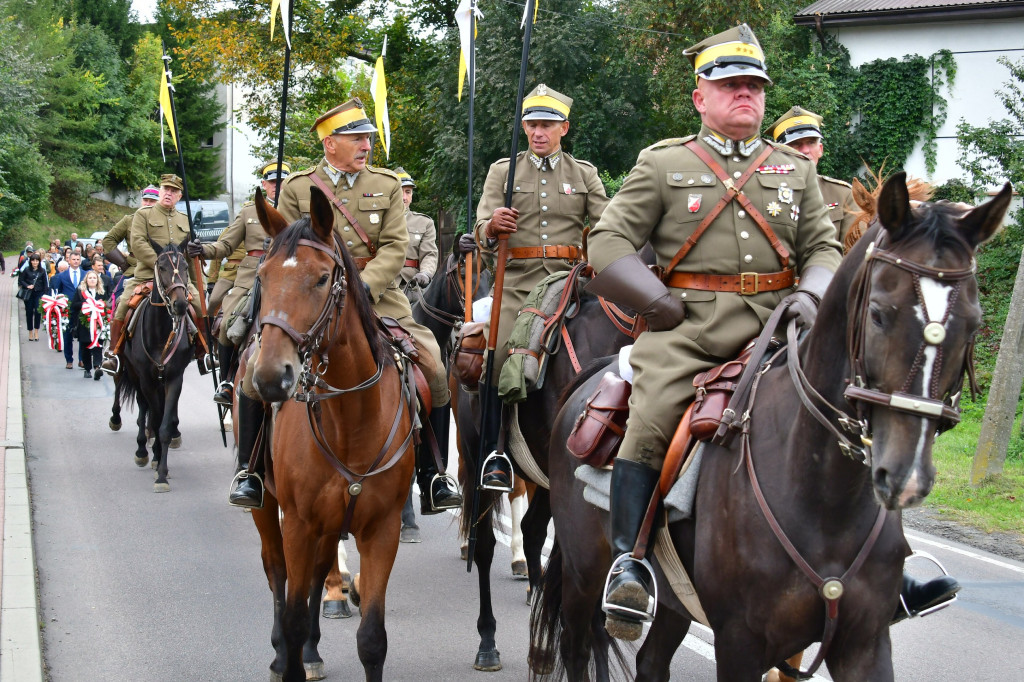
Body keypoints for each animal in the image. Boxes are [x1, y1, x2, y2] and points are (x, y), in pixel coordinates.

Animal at [115, 238, 196, 489]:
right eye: (161, 267)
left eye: (186, 267)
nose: (180, 305)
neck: (161, 333)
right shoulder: (146, 380)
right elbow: (155, 416)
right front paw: (156, 459)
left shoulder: (174, 378)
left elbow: (164, 426)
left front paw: (162, 472)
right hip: (134, 374)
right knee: (143, 409)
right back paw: (142, 450)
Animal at [245, 187, 417, 679]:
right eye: (262, 276)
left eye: (323, 279)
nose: (270, 377)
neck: (350, 421)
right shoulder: (300, 525)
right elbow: (293, 614)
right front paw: (288, 652)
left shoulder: (382, 530)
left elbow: (372, 639)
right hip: (268, 509)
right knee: (277, 573)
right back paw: (282, 653)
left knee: (319, 574)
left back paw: (311, 651)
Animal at [532, 176, 1011, 679]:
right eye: (879, 312)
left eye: (973, 323)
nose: (906, 476)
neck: (824, 494)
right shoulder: (740, 642)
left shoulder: (864, 643)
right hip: (584, 573)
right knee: (579, 645)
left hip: (674, 600)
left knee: (651, 660)